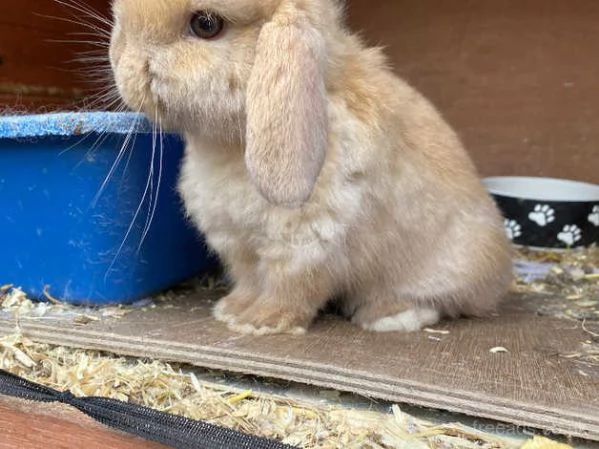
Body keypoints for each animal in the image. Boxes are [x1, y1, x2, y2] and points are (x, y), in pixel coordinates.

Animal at [109, 0, 516, 334]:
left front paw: (262, 322)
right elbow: (249, 279)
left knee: (440, 303)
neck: (231, 144)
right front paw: (232, 310)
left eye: (206, 24)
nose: (119, 59)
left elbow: (290, 288)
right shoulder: (237, 243)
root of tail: (500, 273)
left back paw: (386, 316)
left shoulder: (307, 244)